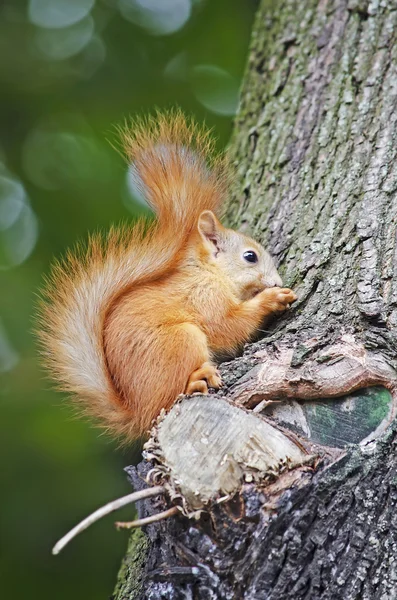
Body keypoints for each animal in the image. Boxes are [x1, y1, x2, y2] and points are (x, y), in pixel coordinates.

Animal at [38, 111, 296, 440]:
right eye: (250, 257)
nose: (276, 282)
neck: (209, 272)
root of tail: (136, 410)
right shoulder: (203, 295)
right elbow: (227, 326)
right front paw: (272, 298)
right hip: (179, 340)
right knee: (168, 397)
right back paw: (196, 379)